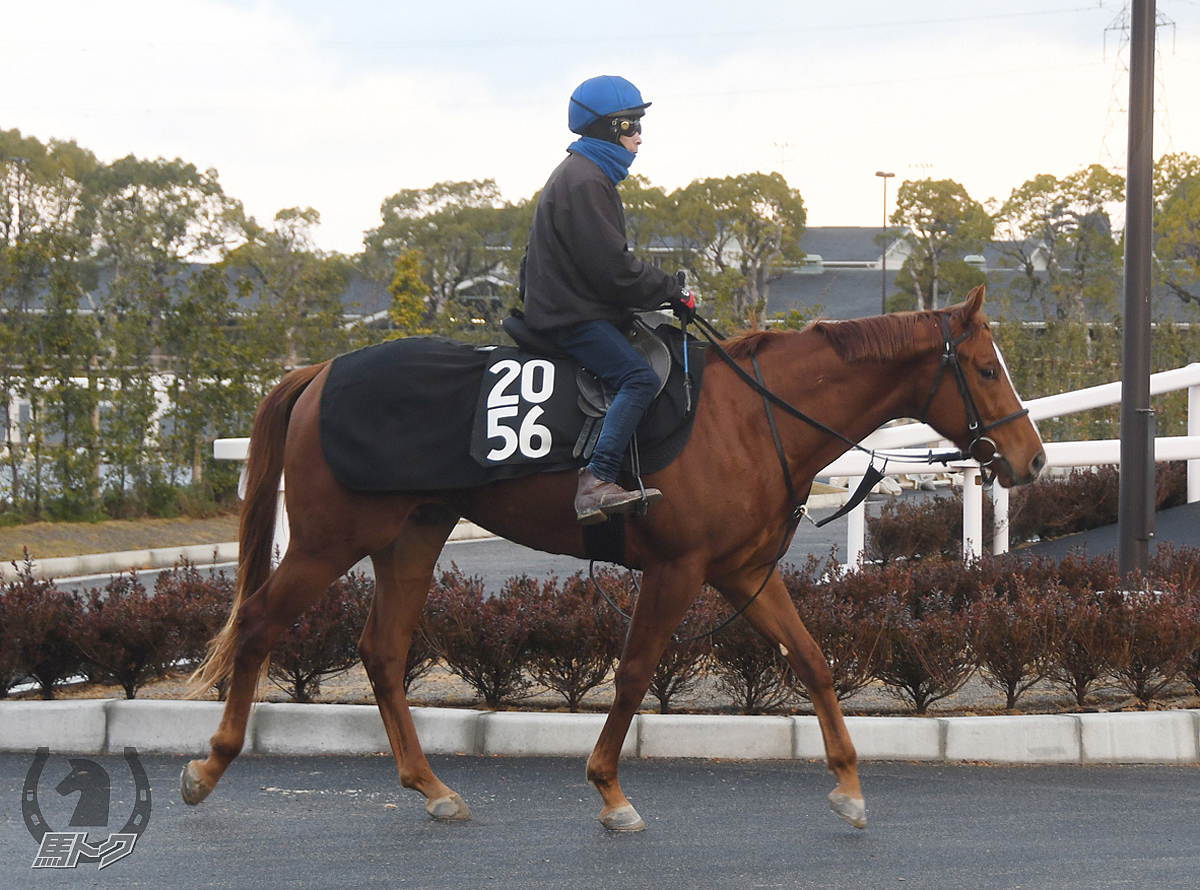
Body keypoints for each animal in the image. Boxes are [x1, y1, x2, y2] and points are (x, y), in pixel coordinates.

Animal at [177, 287, 1041, 834]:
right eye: (988, 368)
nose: (1030, 458)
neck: (751, 416)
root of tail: (319, 370)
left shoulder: (739, 571)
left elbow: (814, 661)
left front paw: (851, 786)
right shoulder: (678, 569)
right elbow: (631, 674)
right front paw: (609, 790)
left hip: (413, 534)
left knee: (383, 652)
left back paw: (433, 788)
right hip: (330, 538)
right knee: (256, 624)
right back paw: (210, 766)